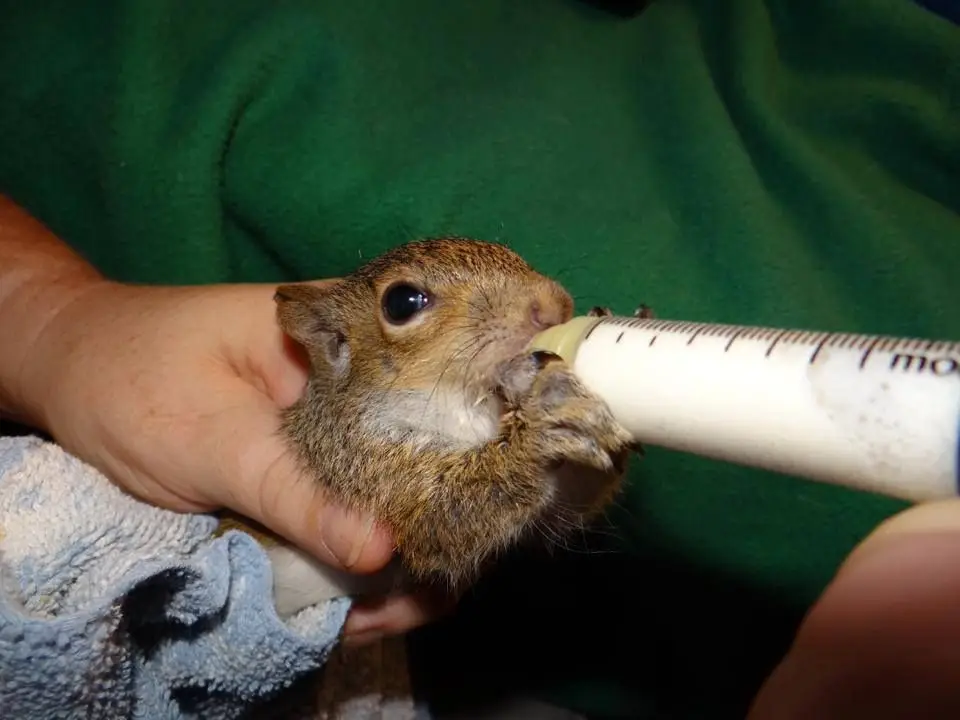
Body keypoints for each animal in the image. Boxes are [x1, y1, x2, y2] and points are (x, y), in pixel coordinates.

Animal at [219, 237, 645, 617]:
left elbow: (566, 504)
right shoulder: (364, 464)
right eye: (401, 302)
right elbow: (439, 518)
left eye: (509, 252)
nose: (555, 305)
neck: (467, 413)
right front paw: (540, 433)